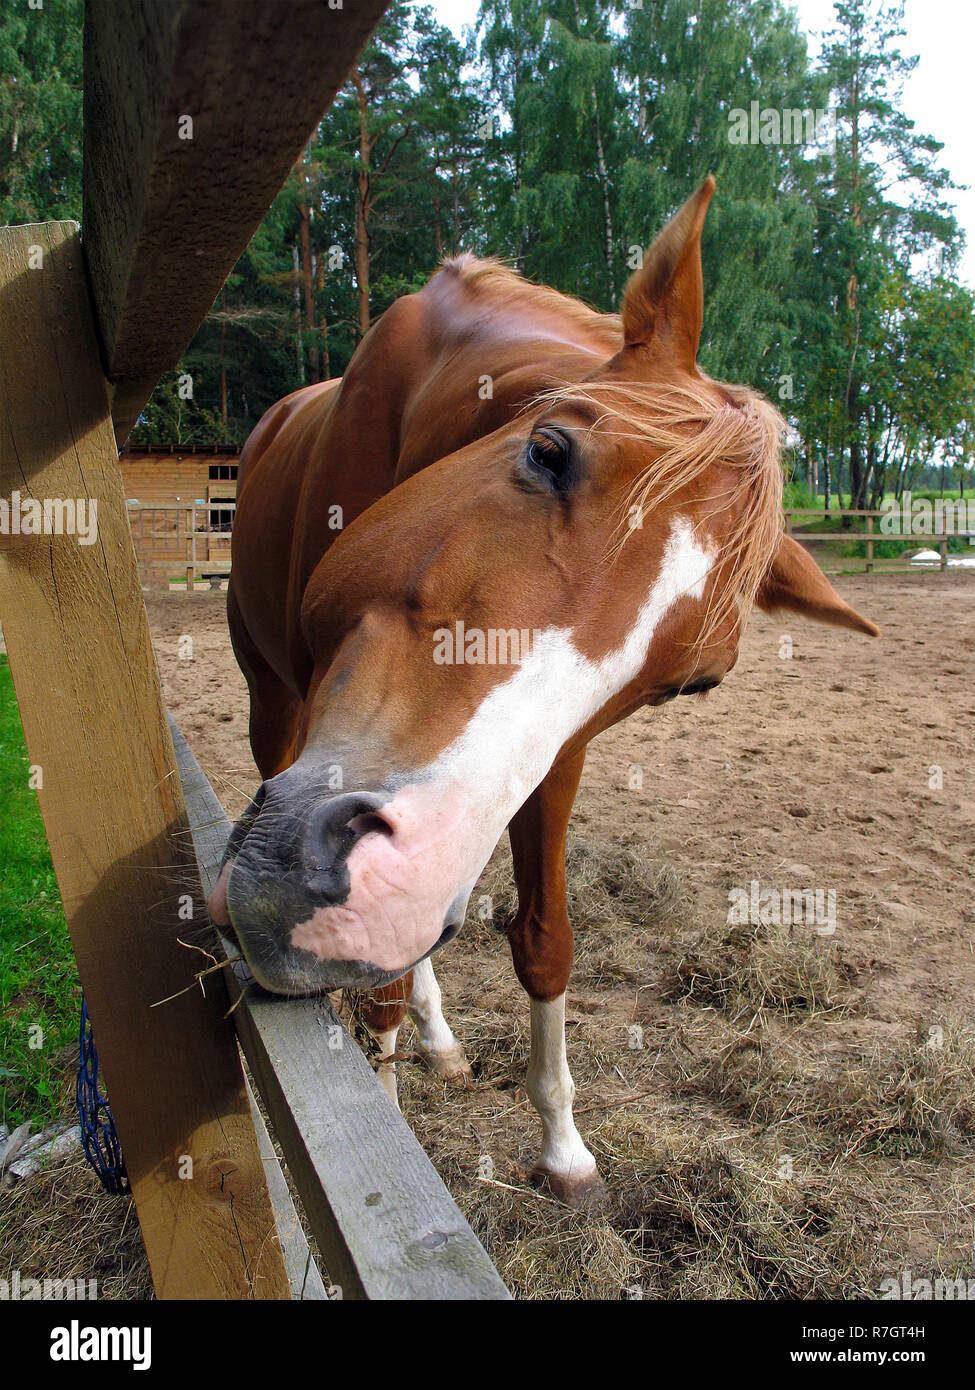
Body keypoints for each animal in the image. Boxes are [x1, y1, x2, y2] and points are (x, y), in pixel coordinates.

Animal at [205, 179, 873, 1200]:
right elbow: (381, 989)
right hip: (272, 700)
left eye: (693, 681)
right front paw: (392, 1132)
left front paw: (563, 1146)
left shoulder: (552, 759)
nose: (388, 888)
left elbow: (545, 941)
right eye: (550, 451)